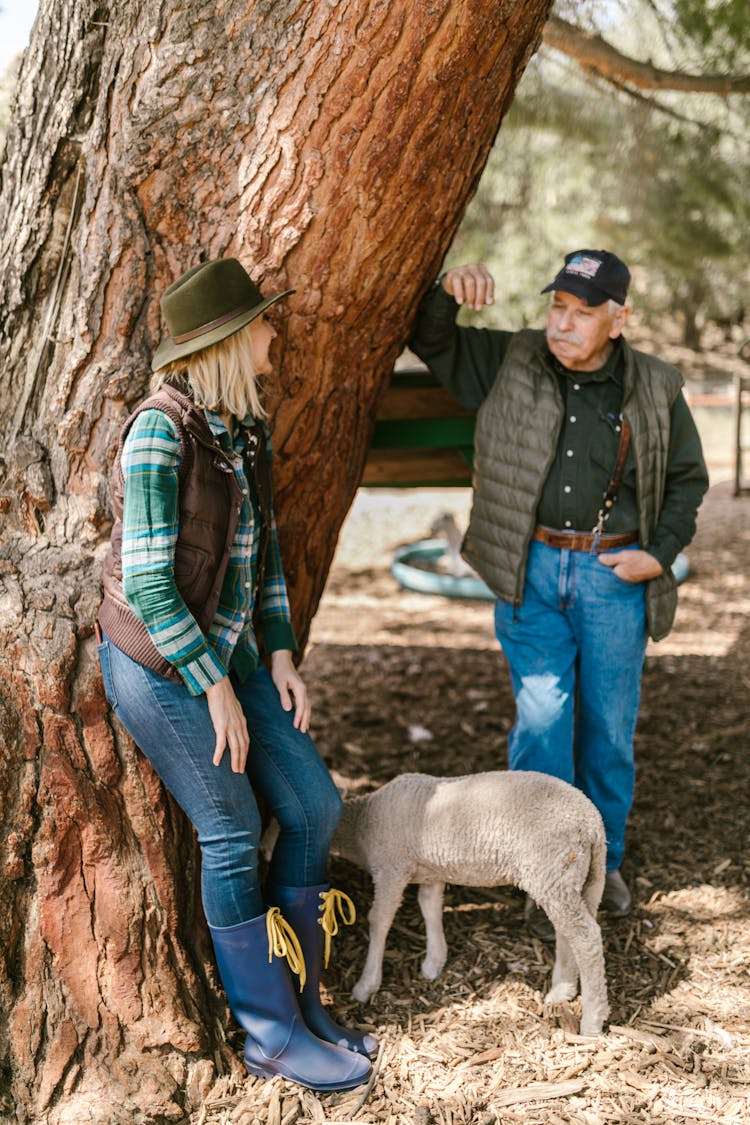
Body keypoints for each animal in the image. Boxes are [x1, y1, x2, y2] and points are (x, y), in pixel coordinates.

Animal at [332, 769, 611, 1030]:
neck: (361, 823)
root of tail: (592, 823)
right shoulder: (432, 871)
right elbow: (429, 905)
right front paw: (434, 961)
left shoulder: (390, 869)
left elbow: (378, 920)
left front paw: (366, 985)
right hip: (580, 879)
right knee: (569, 932)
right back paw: (562, 990)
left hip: (553, 869)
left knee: (586, 939)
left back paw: (592, 1020)